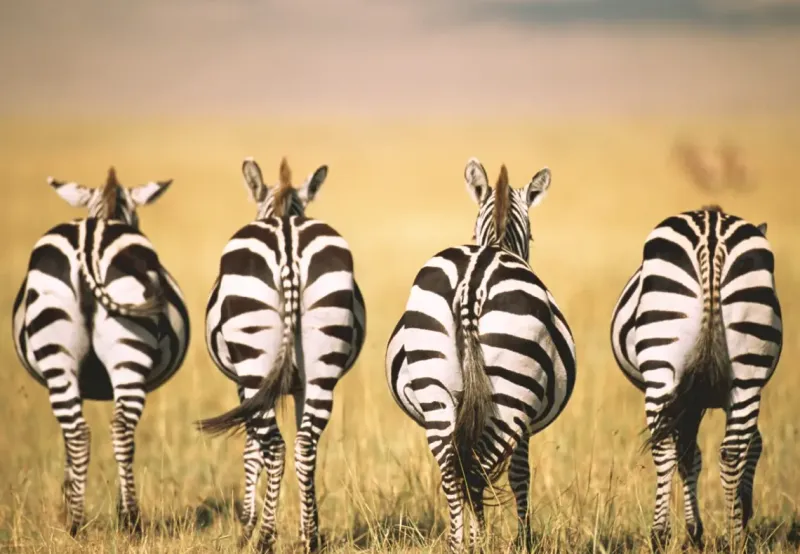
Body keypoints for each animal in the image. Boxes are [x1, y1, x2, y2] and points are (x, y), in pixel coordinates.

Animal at [11, 168, 190, 535]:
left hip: (75, 354)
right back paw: (108, 520)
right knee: (108, 431)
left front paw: (70, 502)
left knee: (95, 432)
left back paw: (95, 522)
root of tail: (90, 239)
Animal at [197, 157, 366, 553]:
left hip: (254, 361)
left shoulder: (243, 387)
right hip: (322, 365)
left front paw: (246, 527)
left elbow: (250, 450)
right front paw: (307, 526)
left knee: (274, 447)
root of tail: (287, 239)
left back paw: (264, 538)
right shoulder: (301, 386)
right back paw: (311, 539)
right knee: (305, 445)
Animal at [385, 158, 576, 552]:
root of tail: (474, 278)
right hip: (510, 397)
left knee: (453, 471)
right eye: (533, 237)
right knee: (476, 470)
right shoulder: (525, 426)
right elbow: (521, 475)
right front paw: (524, 540)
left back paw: (460, 544)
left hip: (435, 391)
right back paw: (478, 542)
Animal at [610, 204, 781, 549]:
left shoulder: (690, 400)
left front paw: (695, 530)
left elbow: (690, 454)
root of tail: (711, 229)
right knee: (731, 451)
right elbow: (741, 445)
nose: (749, 511)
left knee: (667, 447)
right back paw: (733, 539)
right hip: (745, 372)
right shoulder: (702, 398)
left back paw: (661, 534)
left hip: (663, 370)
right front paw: (710, 525)